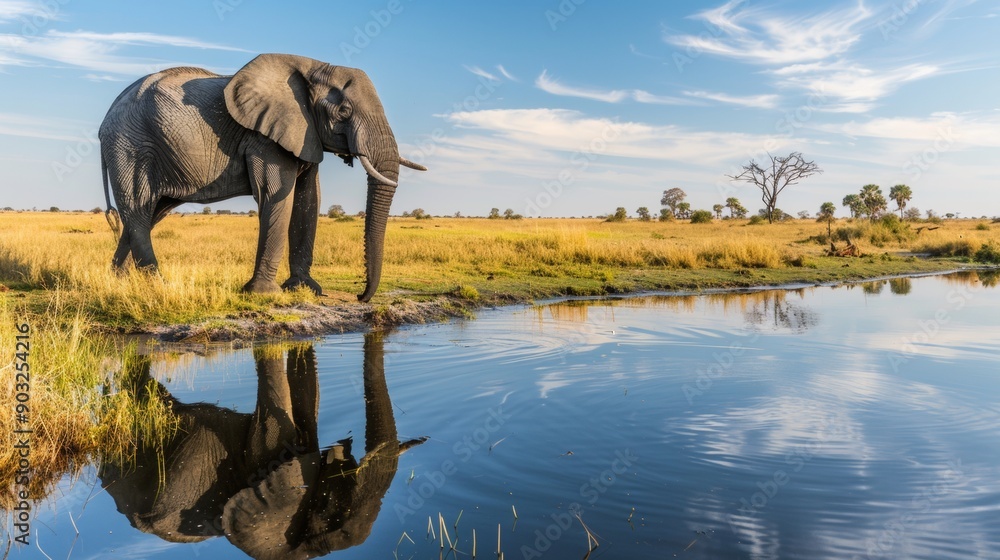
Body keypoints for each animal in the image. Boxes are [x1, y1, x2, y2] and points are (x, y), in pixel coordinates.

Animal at [99, 53, 426, 301]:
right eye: (344, 111)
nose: (360, 296)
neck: (311, 67)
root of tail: (105, 120)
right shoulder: (265, 139)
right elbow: (276, 193)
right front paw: (264, 294)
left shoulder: (305, 134)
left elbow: (310, 198)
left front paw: (305, 289)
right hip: (130, 146)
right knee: (139, 209)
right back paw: (158, 285)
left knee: (149, 213)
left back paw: (118, 281)